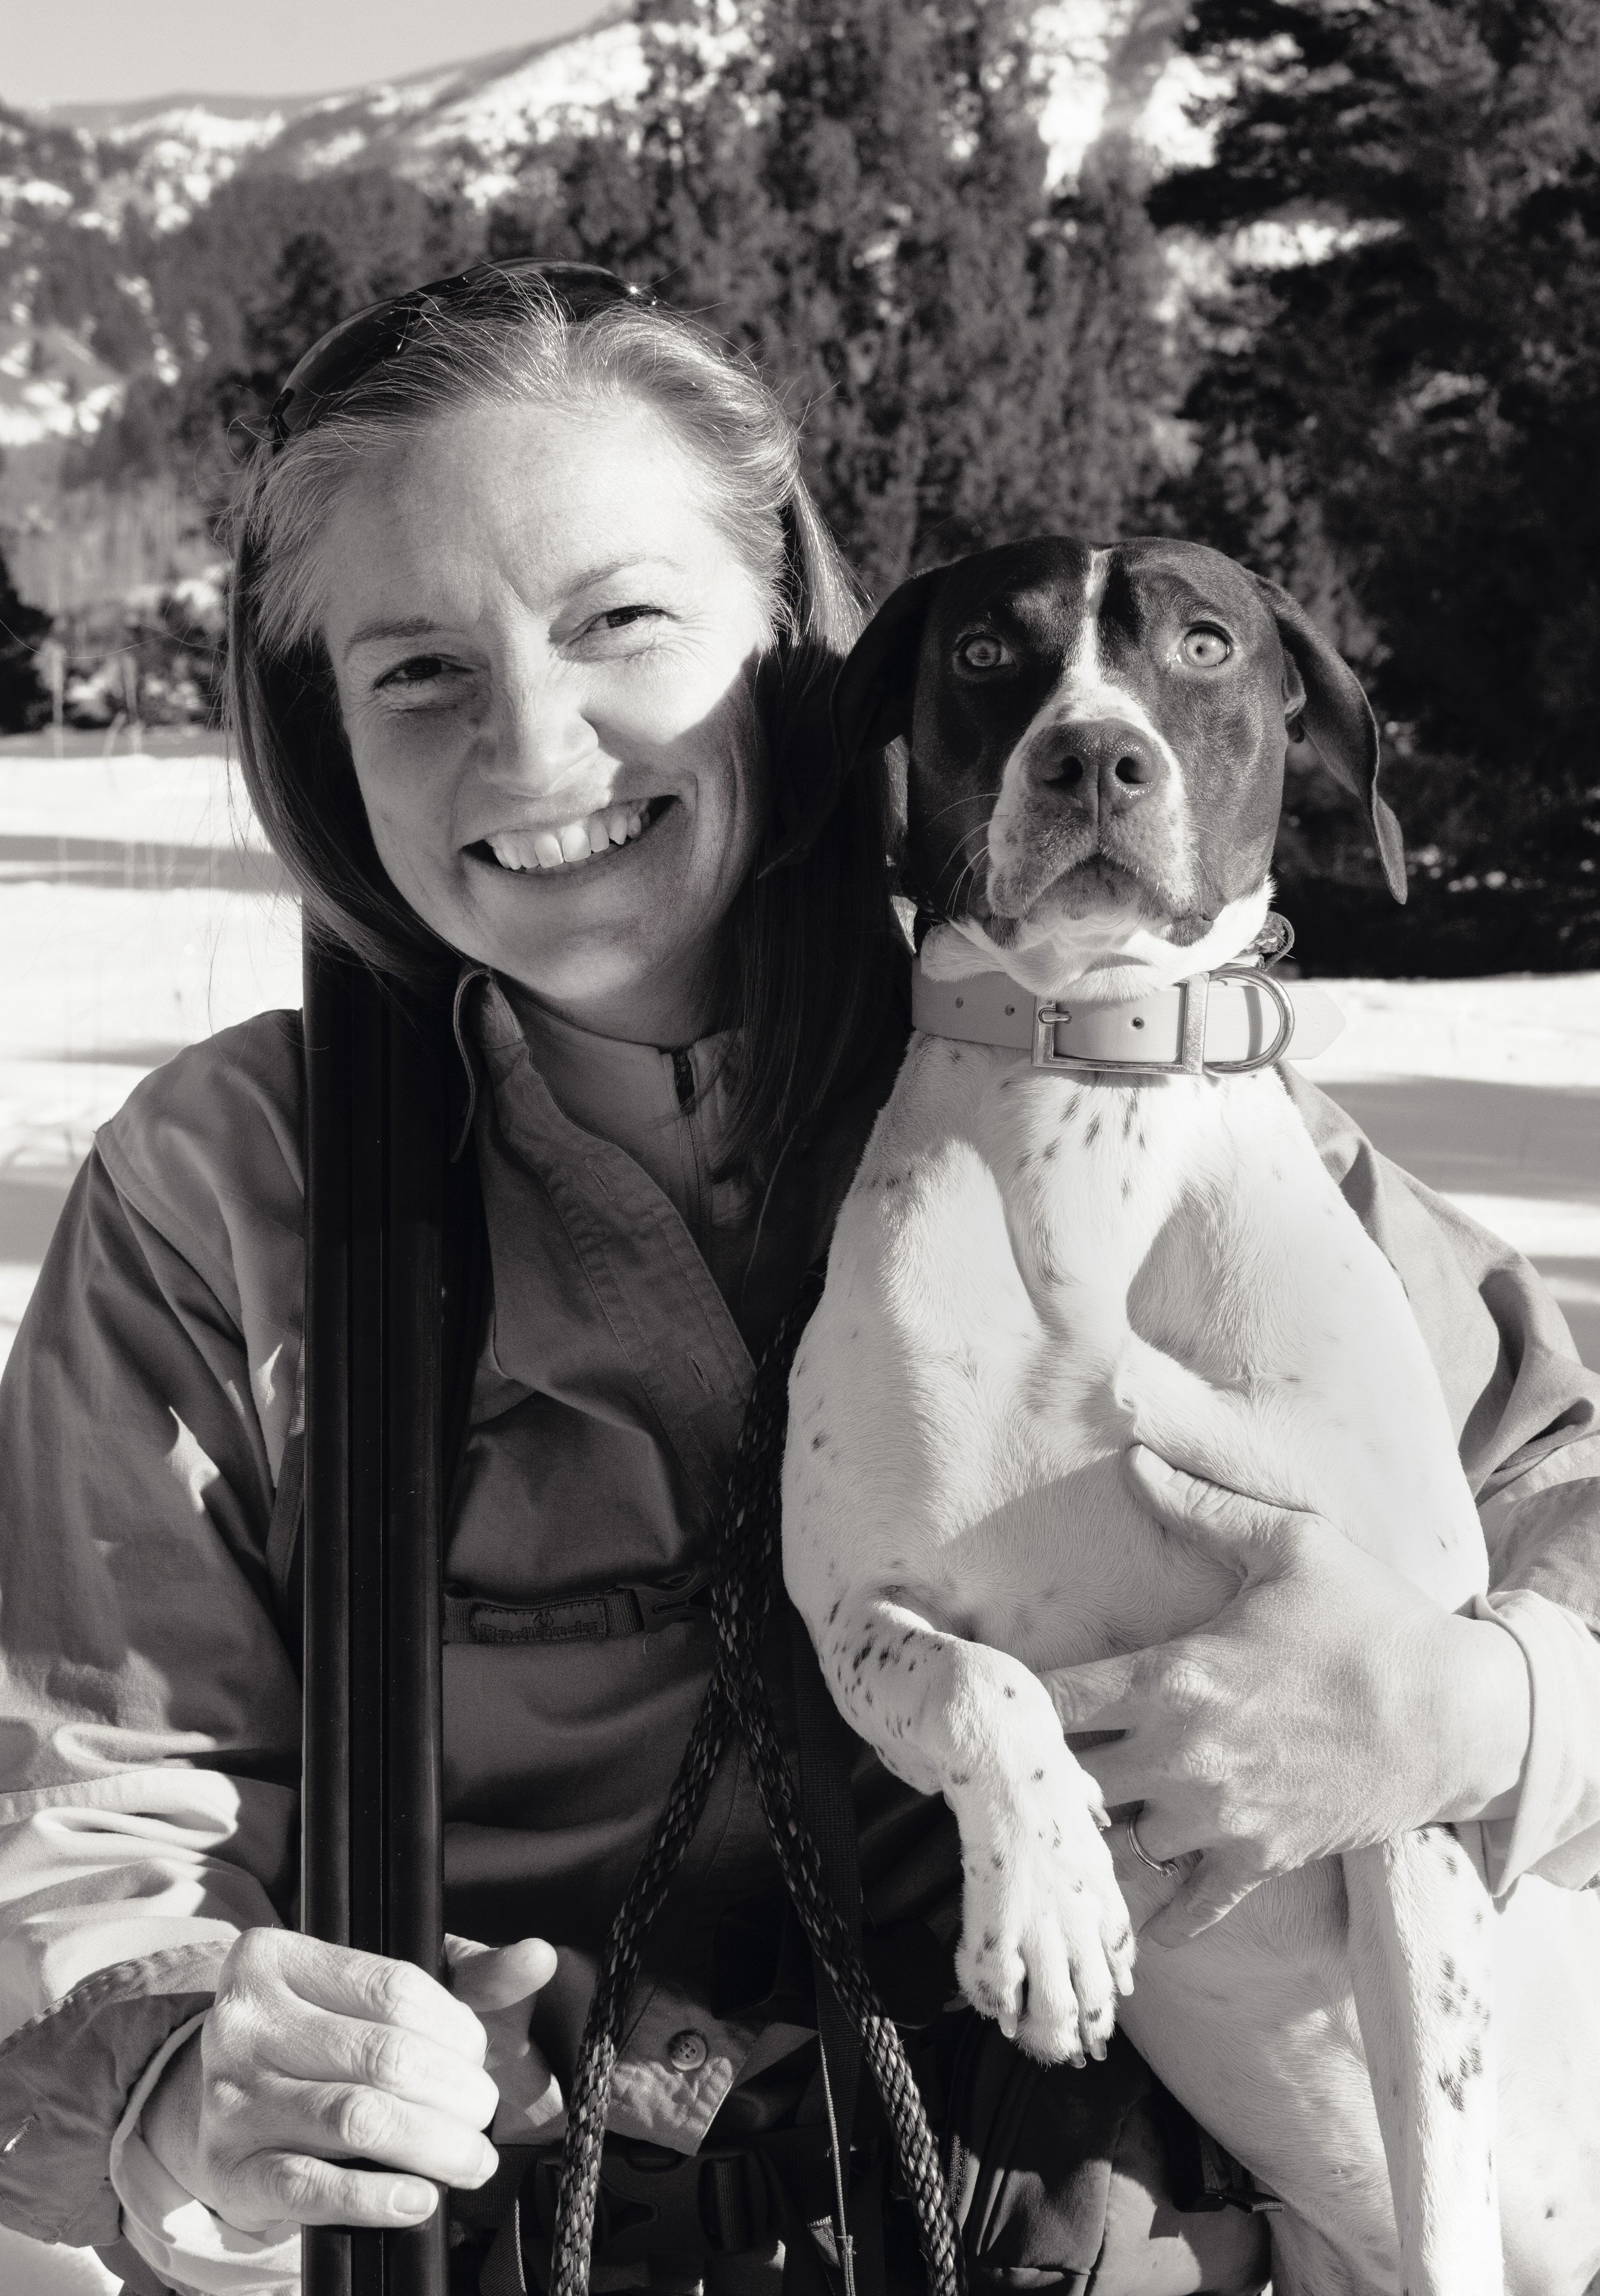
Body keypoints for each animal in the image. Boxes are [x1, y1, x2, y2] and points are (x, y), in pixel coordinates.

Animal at [781, 539, 1600, 2296]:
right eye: (984, 649)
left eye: (1207, 645)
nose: (1094, 756)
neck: (1092, 1086)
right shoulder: (845, 1605)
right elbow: (979, 1680)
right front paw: (1048, 1906)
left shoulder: (1405, 1786)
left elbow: (1442, 2180)